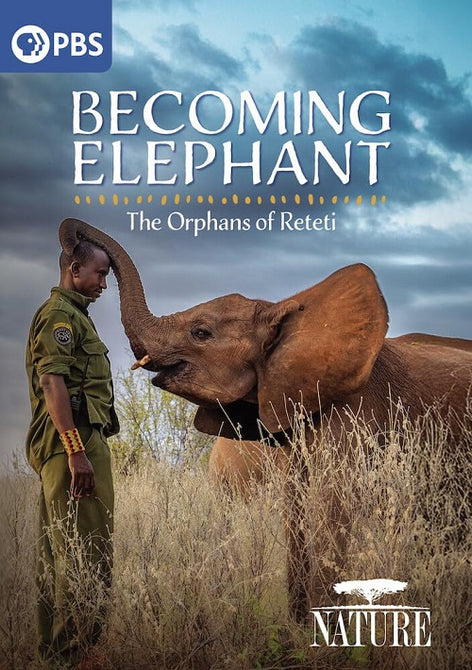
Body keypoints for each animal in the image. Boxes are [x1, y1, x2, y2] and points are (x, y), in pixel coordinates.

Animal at [59, 218, 472, 621]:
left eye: (201, 332)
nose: (73, 238)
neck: (285, 311)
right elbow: (296, 513)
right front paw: (300, 625)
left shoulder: (355, 413)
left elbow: (331, 509)